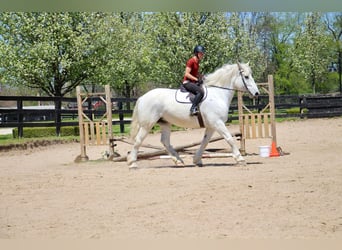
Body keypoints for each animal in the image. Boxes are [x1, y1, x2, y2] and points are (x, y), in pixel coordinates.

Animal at [127, 62, 258, 169]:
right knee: (139, 140)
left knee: (165, 141)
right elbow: (229, 138)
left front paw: (197, 160)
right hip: (147, 124)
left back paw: (178, 160)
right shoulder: (217, 123)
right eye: (246, 77)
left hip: (165, 123)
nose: (257, 93)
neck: (218, 94)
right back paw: (132, 163)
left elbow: (205, 142)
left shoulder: (211, 126)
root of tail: (142, 97)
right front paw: (240, 159)